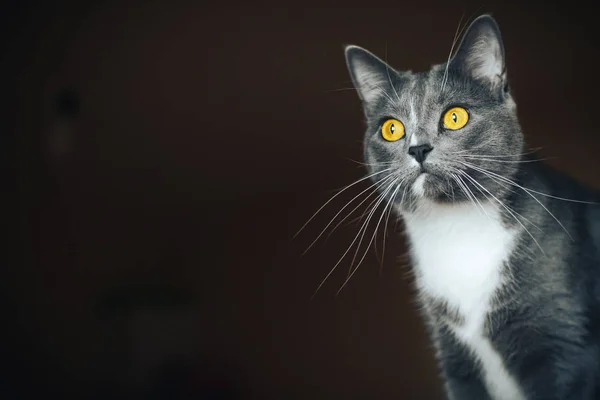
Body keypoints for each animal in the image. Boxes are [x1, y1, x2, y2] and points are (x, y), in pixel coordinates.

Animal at [342, 13, 600, 400]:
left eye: (455, 117)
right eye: (391, 129)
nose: (418, 148)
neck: (458, 230)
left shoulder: (563, 345)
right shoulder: (454, 356)